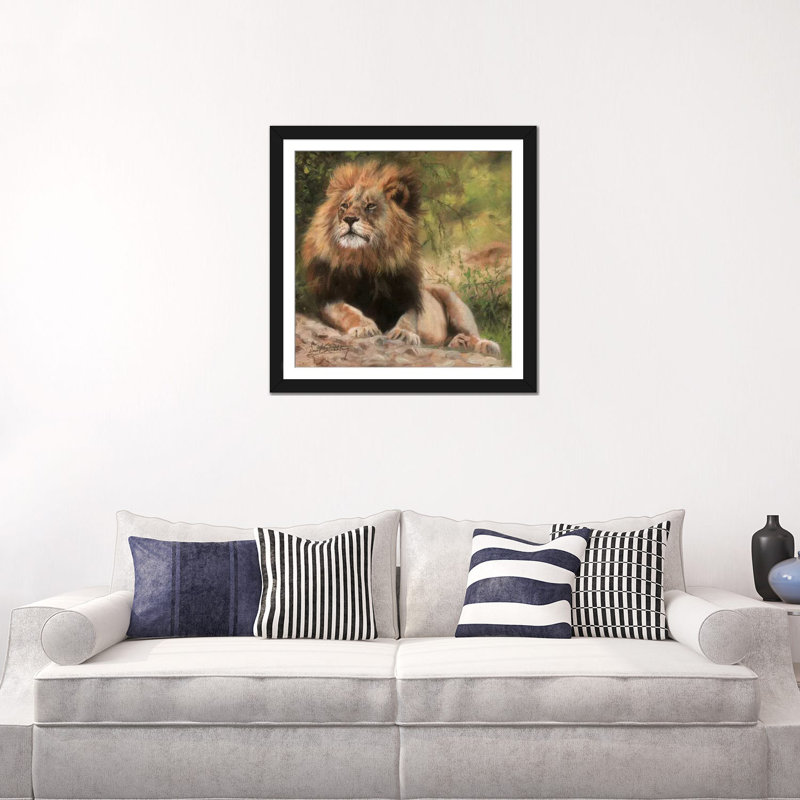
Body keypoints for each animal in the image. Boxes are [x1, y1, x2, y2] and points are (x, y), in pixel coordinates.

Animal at [301, 160, 502, 357]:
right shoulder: (329, 298)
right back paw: (458, 342)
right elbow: (347, 311)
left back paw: (485, 345)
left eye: (370, 206)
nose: (349, 219)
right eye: (344, 205)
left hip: (455, 303)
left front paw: (404, 334)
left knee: (472, 333)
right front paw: (365, 327)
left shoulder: (408, 296)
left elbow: (408, 317)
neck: (367, 260)